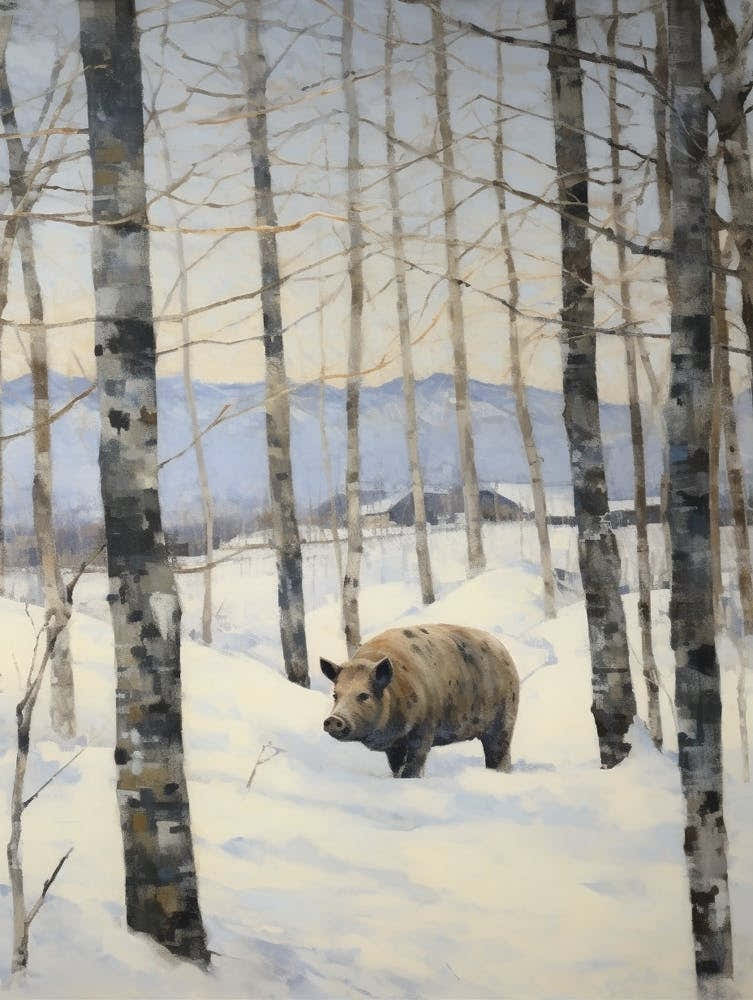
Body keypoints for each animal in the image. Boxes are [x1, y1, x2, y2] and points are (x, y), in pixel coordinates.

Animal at [320, 623, 519, 777]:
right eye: (335, 695)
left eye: (364, 695)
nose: (334, 719)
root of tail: (503, 650)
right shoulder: (394, 746)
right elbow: (396, 766)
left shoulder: (425, 728)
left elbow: (415, 762)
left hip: (504, 720)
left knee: (499, 752)